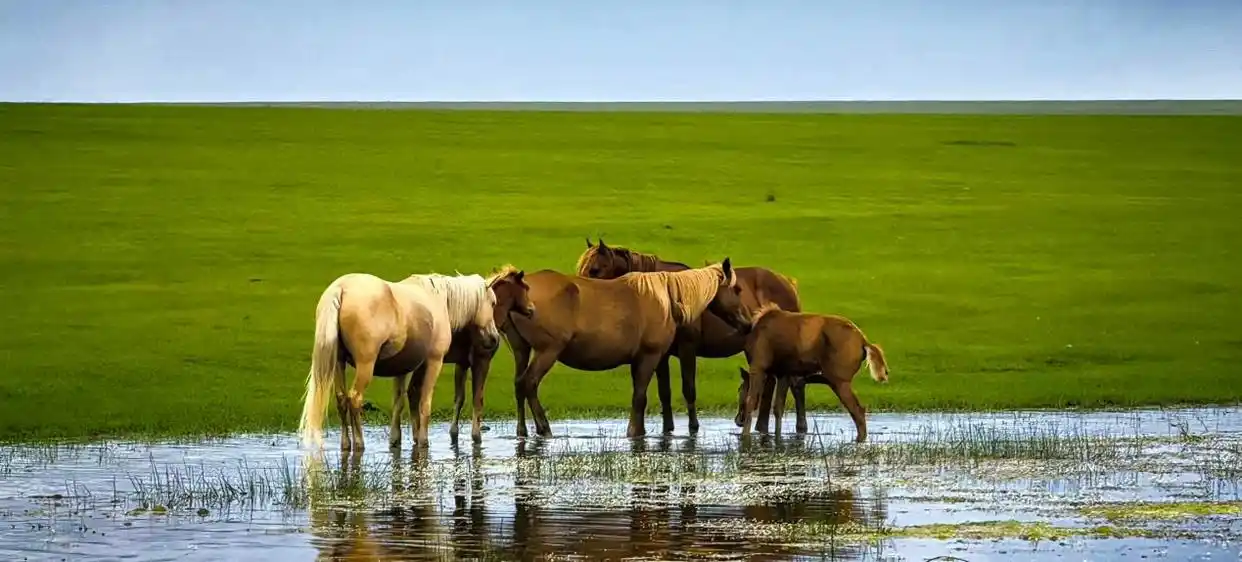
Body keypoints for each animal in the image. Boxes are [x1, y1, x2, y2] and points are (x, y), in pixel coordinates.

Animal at [297, 265, 533, 451]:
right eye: (492, 303)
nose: (493, 338)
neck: (442, 302)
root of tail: (341, 289)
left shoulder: (406, 366)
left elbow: (402, 401)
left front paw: (401, 440)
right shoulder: (437, 361)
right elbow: (426, 404)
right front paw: (424, 441)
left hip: (338, 363)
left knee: (341, 399)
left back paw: (346, 444)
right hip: (365, 365)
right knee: (354, 399)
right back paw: (360, 443)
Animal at [502, 258, 751, 438]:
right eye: (737, 289)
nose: (748, 324)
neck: (665, 297)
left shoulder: (647, 359)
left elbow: (646, 395)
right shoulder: (649, 357)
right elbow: (640, 397)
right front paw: (635, 432)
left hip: (522, 351)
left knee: (518, 385)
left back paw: (522, 431)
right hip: (547, 352)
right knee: (529, 383)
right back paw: (544, 428)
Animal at [575, 238, 813, 434]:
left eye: (595, 269)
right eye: (581, 267)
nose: (579, 292)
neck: (668, 294)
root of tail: (788, 283)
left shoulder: (687, 349)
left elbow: (688, 389)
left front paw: (693, 427)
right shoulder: (661, 355)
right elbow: (664, 392)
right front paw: (668, 428)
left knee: (794, 383)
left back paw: (799, 426)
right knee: (771, 381)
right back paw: (761, 426)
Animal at [739, 303, 891, 442]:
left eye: (739, 390)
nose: (738, 420)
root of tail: (864, 342)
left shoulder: (759, 367)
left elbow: (751, 401)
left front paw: (744, 436)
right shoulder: (782, 374)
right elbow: (778, 408)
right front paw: (777, 438)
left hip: (839, 381)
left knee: (858, 410)